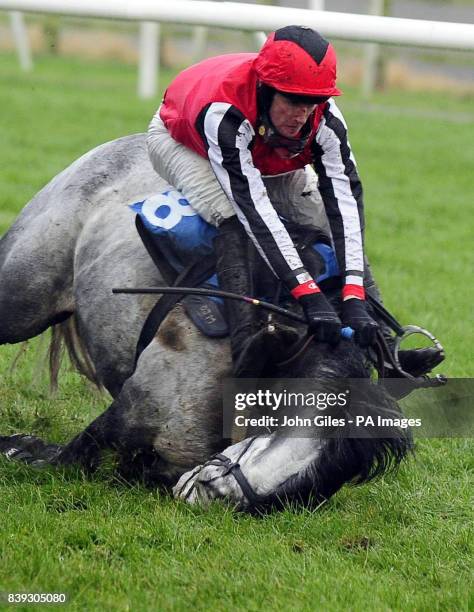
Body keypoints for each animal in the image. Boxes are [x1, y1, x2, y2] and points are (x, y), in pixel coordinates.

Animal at [0, 134, 412, 512]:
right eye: (280, 425)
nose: (211, 495)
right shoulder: (136, 403)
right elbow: (74, 453)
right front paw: (21, 449)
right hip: (23, 295)